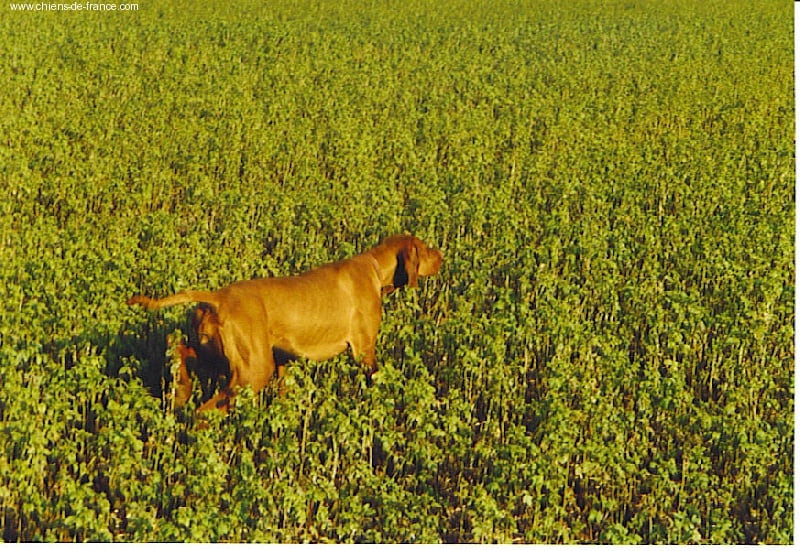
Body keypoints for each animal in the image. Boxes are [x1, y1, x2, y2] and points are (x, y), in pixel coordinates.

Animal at [127, 233, 440, 414]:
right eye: (425, 249)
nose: (441, 256)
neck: (374, 267)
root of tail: (217, 297)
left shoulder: (282, 361)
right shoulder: (364, 350)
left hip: (212, 351)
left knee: (181, 350)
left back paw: (181, 389)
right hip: (252, 370)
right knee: (205, 412)